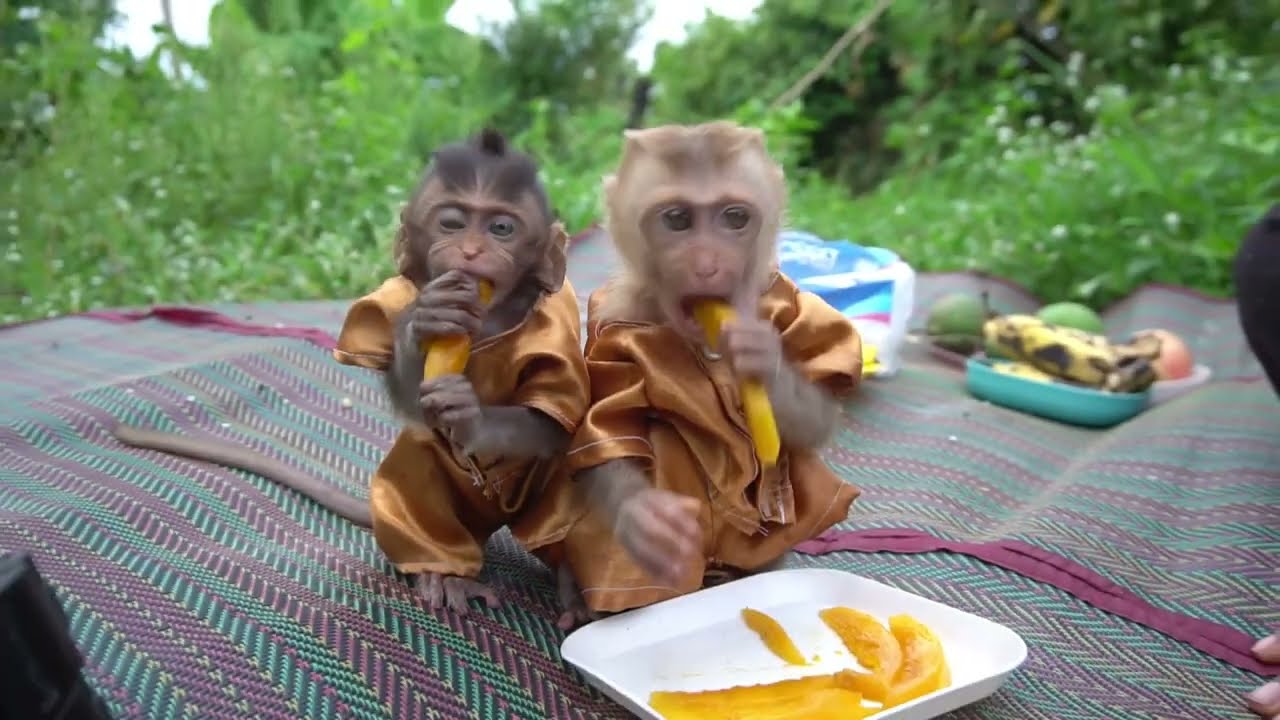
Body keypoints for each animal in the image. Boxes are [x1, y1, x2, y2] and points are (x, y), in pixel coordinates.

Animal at [112, 129, 594, 629]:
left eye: (502, 228)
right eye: (453, 224)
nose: (470, 252)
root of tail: (487, 525)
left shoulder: (558, 321)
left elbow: (551, 422)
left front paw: (473, 417)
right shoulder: (385, 300)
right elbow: (412, 398)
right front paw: (424, 318)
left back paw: (571, 584)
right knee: (421, 458)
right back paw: (445, 571)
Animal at [554, 121, 865, 617]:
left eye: (735, 218)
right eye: (678, 219)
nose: (707, 265)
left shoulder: (791, 300)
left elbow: (817, 419)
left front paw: (764, 357)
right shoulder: (610, 325)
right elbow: (611, 429)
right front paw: (644, 520)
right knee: (662, 436)